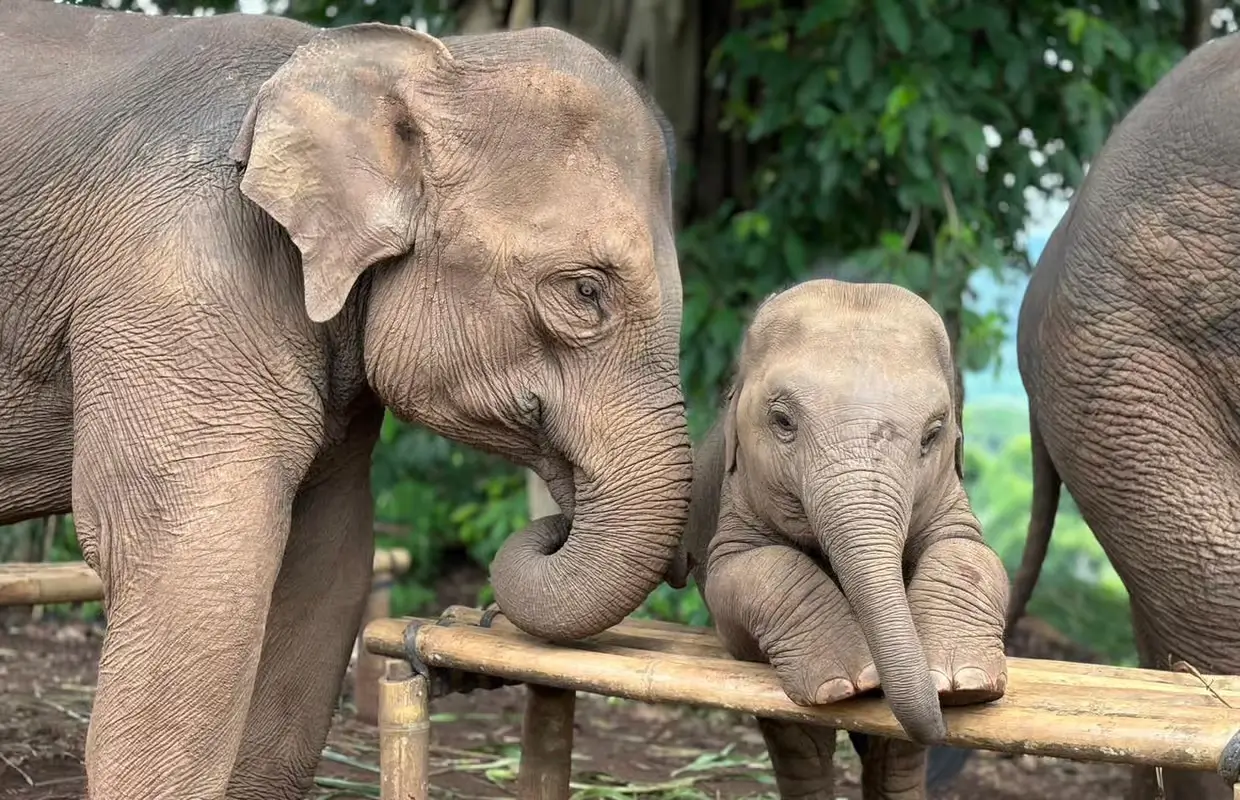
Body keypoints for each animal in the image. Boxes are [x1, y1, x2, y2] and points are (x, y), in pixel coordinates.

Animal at [665, 278, 1009, 799]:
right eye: (782, 421)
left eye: (933, 434)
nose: (942, 727)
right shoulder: (736, 495)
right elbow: (742, 571)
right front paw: (851, 682)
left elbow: (972, 554)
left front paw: (962, 683)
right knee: (800, 741)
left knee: (895, 752)